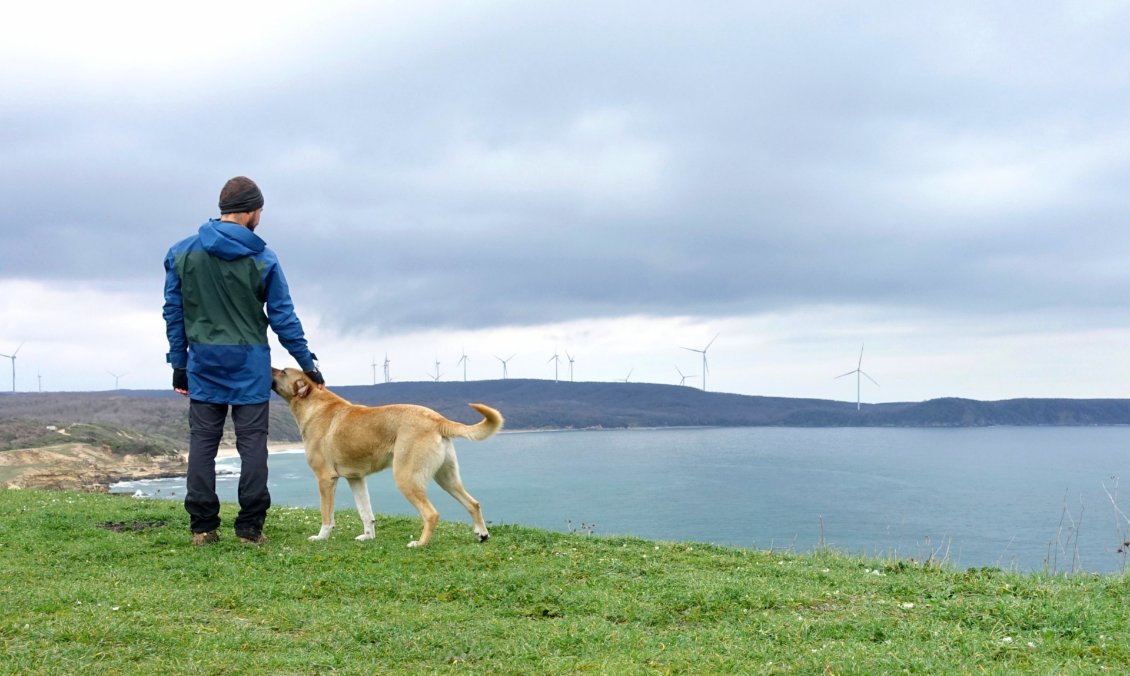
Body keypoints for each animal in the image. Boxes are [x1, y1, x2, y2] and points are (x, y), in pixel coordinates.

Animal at [268, 368, 503, 549]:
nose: (269, 365)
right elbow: (365, 512)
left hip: (406, 478)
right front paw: (368, 536)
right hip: (447, 478)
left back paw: (420, 543)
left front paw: (321, 537)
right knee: (473, 503)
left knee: (431, 514)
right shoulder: (356, 478)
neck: (313, 405)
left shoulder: (325, 479)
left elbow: (327, 516)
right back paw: (482, 534)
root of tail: (437, 419)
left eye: (283, 371)